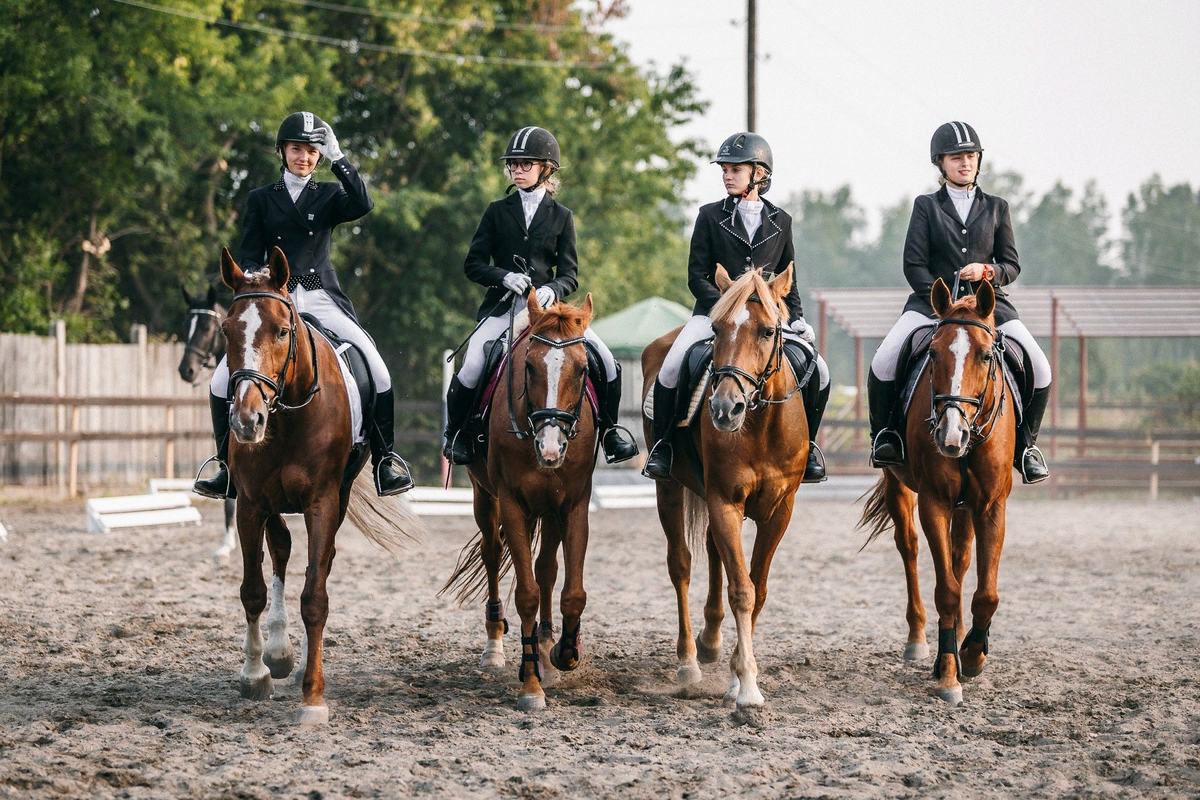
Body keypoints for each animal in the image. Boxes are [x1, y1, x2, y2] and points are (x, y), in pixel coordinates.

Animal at [219, 245, 422, 724]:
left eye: (281, 331)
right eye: (226, 331)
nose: (246, 421)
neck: (287, 415)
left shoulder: (323, 503)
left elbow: (315, 597)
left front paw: (313, 696)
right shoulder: (251, 503)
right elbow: (253, 590)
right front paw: (254, 674)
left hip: (337, 499)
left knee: (319, 563)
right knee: (280, 550)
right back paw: (277, 653)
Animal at [446, 292, 600, 714]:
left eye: (583, 369)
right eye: (529, 367)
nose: (551, 449)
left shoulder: (573, 503)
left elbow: (572, 591)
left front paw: (565, 652)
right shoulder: (513, 504)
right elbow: (526, 594)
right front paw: (531, 685)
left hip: (547, 509)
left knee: (545, 568)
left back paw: (547, 644)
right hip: (485, 498)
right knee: (493, 554)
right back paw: (496, 646)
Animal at [643, 263, 811, 705]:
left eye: (768, 331)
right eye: (717, 329)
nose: (723, 409)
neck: (759, 425)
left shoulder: (780, 511)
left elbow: (758, 588)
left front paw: (738, 676)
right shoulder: (724, 502)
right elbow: (742, 589)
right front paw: (747, 686)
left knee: (711, 551)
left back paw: (711, 640)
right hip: (669, 490)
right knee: (681, 564)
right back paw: (689, 659)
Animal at [859, 278, 1017, 705]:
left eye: (985, 356)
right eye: (932, 353)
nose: (951, 436)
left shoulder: (991, 506)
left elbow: (985, 593)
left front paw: (973, 653)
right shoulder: (934, 503)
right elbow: (946, 589)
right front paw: (948, 673)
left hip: (966, 507)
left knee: (960, 560)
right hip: (899, 485)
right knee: (909, 547)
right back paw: (919, 641)